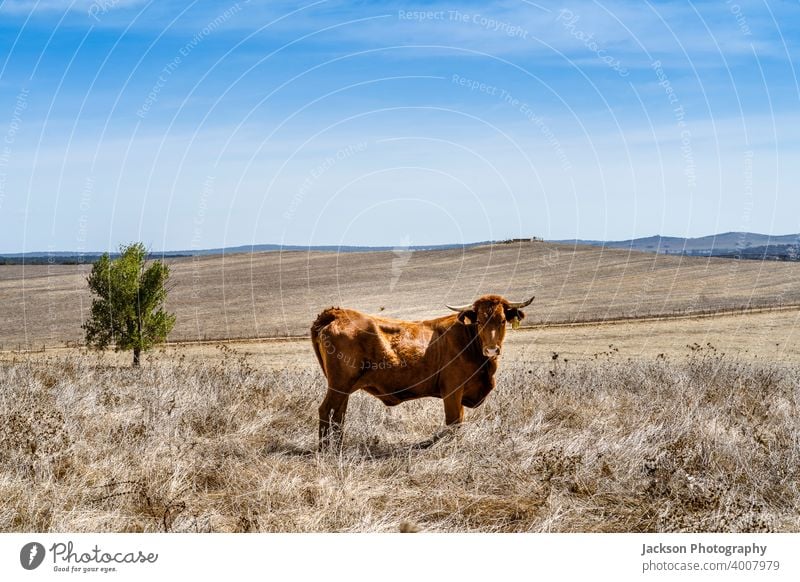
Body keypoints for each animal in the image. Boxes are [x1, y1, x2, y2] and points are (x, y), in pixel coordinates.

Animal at [310, 296, 532, 452]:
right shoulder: (452, 391)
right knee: (326, 410)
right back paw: (326, 451)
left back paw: (338, 448)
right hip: (339, 385)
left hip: (344, 388)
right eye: (479, 321)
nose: (492, 349)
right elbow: (454, 422)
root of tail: (337, 313)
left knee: (338, 415)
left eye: (502, 320)